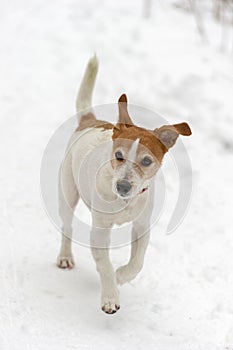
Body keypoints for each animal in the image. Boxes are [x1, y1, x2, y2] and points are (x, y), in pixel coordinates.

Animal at [56, 55, 191, 314]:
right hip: (67, 194)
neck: (123, 202)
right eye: (118, 155)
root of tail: (91, 120)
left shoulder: (141, 227)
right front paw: (110, 295)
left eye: (146, 160)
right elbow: (105, 264)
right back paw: (65, 256)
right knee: (67, 227)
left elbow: (137, 262)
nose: (123, 187)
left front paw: (121, 276)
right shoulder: (100, 231)